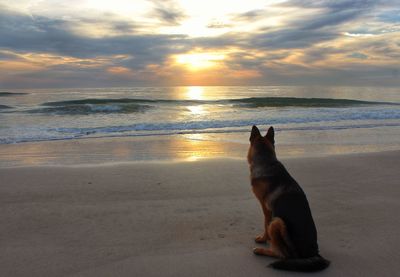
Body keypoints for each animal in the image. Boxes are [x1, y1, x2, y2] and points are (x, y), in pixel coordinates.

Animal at [248, 125, 330, 272]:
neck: (266, 161)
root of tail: (314, 254)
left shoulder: (266, 210)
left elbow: (265, 224)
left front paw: (263, 239)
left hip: (278, 222)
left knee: (283, 255)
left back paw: (261, 251)